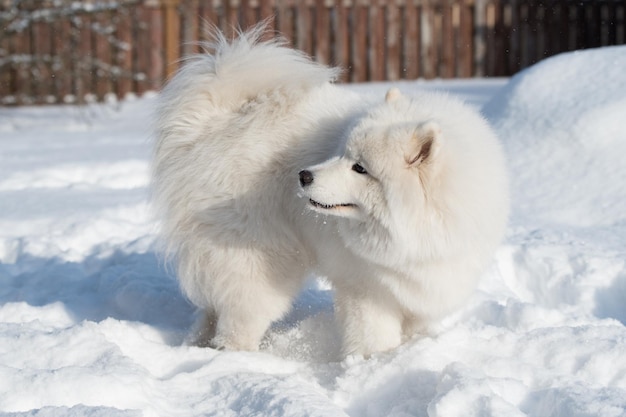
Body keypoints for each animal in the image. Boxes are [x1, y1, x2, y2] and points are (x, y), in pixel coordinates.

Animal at [151, 26, 508, 356]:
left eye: (359, 167)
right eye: (343, 154)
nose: (304, 175)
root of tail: (218, 117)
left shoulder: (421, 292)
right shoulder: (366, 292)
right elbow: (373, 340)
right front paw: (373, 366)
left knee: (212, 308)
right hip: (258, 259)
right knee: (239, 318)